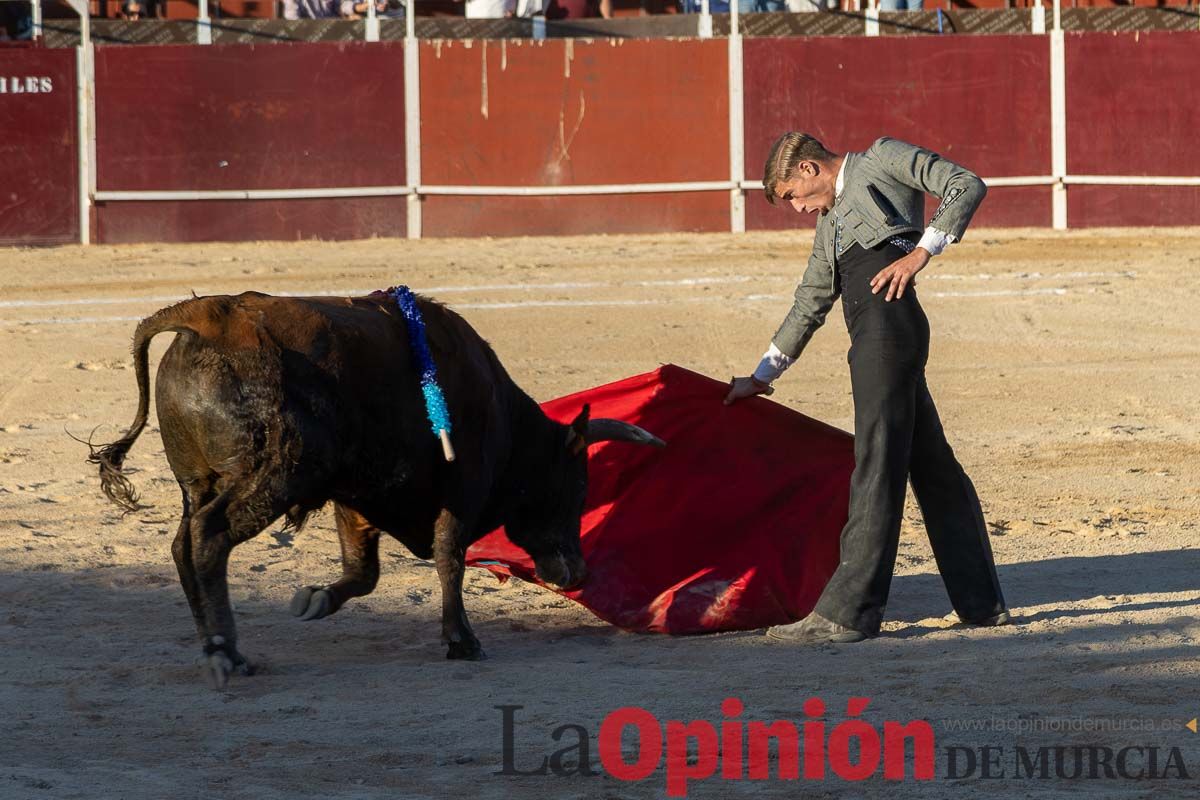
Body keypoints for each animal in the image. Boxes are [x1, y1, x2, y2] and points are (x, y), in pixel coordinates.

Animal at [91, 292, 667, 690]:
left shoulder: (356, 496)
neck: (500, 414)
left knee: (183, 545)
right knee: (209, 538)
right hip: (275, 474)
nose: (579, 573)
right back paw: (224, 652)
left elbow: (363, 572)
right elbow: (450, 557)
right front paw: (462, 640)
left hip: (197, 482)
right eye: (577, 485)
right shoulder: (461, 487)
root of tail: (207, 316)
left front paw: (315, 599)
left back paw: (212, 644)